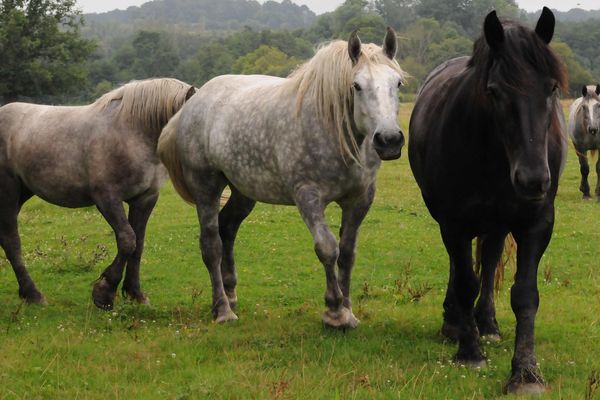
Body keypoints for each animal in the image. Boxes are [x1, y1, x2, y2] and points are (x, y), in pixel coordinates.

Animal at [0, 78, 195, 310]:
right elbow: (128, 240)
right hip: (8, 191)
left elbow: (138, 245)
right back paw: (33, 294)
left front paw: (135, 294)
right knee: (11, 241)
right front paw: (105, 293)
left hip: (22, 192)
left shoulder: (145, 198)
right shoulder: (107, 197)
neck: (130, 131)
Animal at [158, 28, 408, 328]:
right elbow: (327, 248)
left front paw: (348, 311)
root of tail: (192, 103)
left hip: (243, 191)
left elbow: (347, 253)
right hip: (206, 187)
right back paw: (223, 310)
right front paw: (334, 312)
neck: (336, 130)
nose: (389, 140)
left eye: (398, 83)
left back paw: (230, 295)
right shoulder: (308, 196)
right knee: (211, 244)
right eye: (356, 86)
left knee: (227, 228)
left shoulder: (360, 200)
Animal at [408, 7, 568, 396]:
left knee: (490, 257)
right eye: (494, 91)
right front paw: (469, 352)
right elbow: (466, 281)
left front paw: (525, 372)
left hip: (496, 223)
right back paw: (456, 323)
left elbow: (525, 294)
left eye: (552, 88)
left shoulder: (537, 223)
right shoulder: (454, 221)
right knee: (460, 267)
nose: (533, 179)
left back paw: (488, 323)